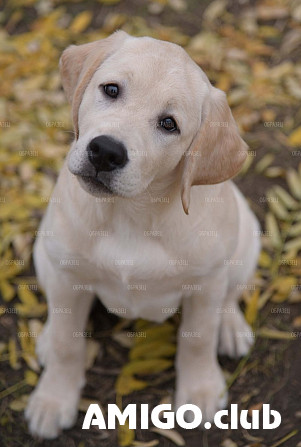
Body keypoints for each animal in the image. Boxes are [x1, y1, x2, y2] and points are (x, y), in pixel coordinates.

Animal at [25, 32, 258, 440]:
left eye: (169, 124)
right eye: (111, 90)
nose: (105, 151)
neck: (129, 214)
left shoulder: (206, 283)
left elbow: (198, 338)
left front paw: (200, 391)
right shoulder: (68, 274)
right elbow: (68, 343)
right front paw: (53, 400)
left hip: (247, 238)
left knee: (230, 294)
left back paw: (231, 327)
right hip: (45, 250)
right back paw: (47, 339)